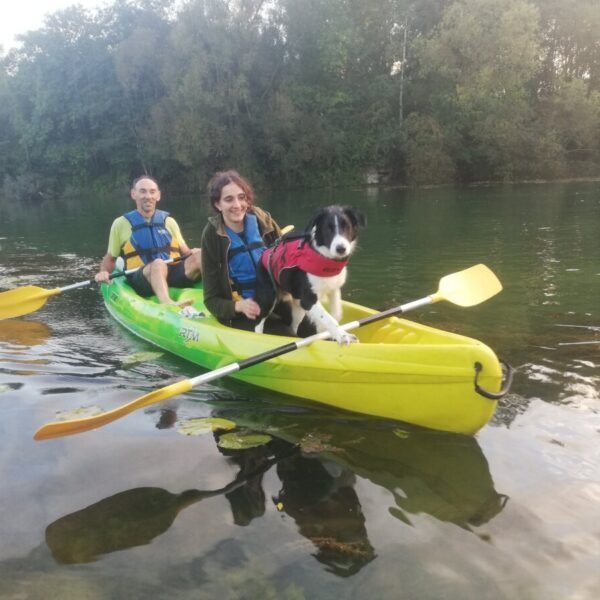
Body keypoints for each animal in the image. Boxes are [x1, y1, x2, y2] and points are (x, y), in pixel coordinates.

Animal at [253, 206, 366, 344]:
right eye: (327, 228)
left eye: (346, 226)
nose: (341, 249)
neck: (324, 258)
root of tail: (265, 253)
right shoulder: (308, 300)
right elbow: (328, 318)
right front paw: (342, 336)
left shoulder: (333, 288)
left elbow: (336, 313)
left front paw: (325, 331)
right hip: (269, 297)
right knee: (259, 322)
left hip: (297, 305)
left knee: (293, 326)